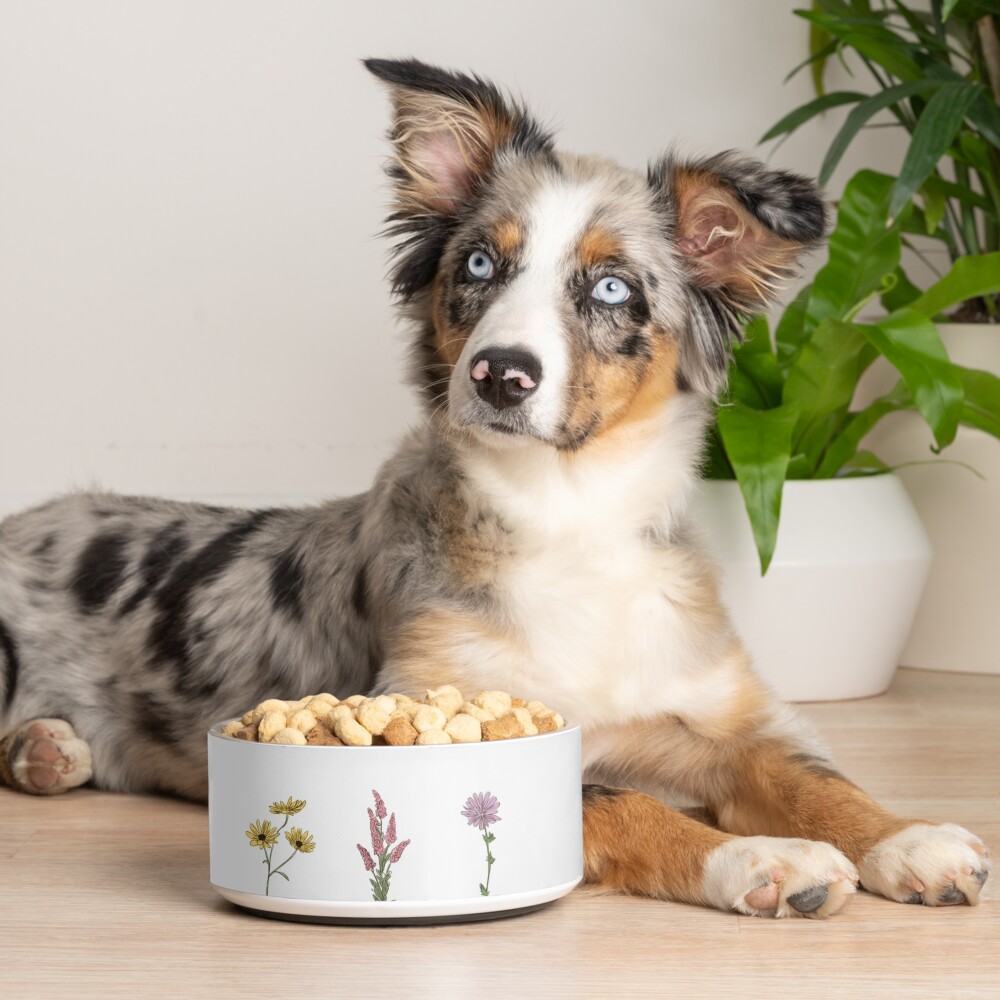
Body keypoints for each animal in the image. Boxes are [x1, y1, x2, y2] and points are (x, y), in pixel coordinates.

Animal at [0, 52, 988, 916]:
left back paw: (47, 750)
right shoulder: (435, 707)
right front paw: (761, 858)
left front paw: (909, 838)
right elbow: (615, 800)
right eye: (479, 264)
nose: (501, 374)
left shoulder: (721, 715)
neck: (570, 513)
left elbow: (808, 776)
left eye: (613, 289)